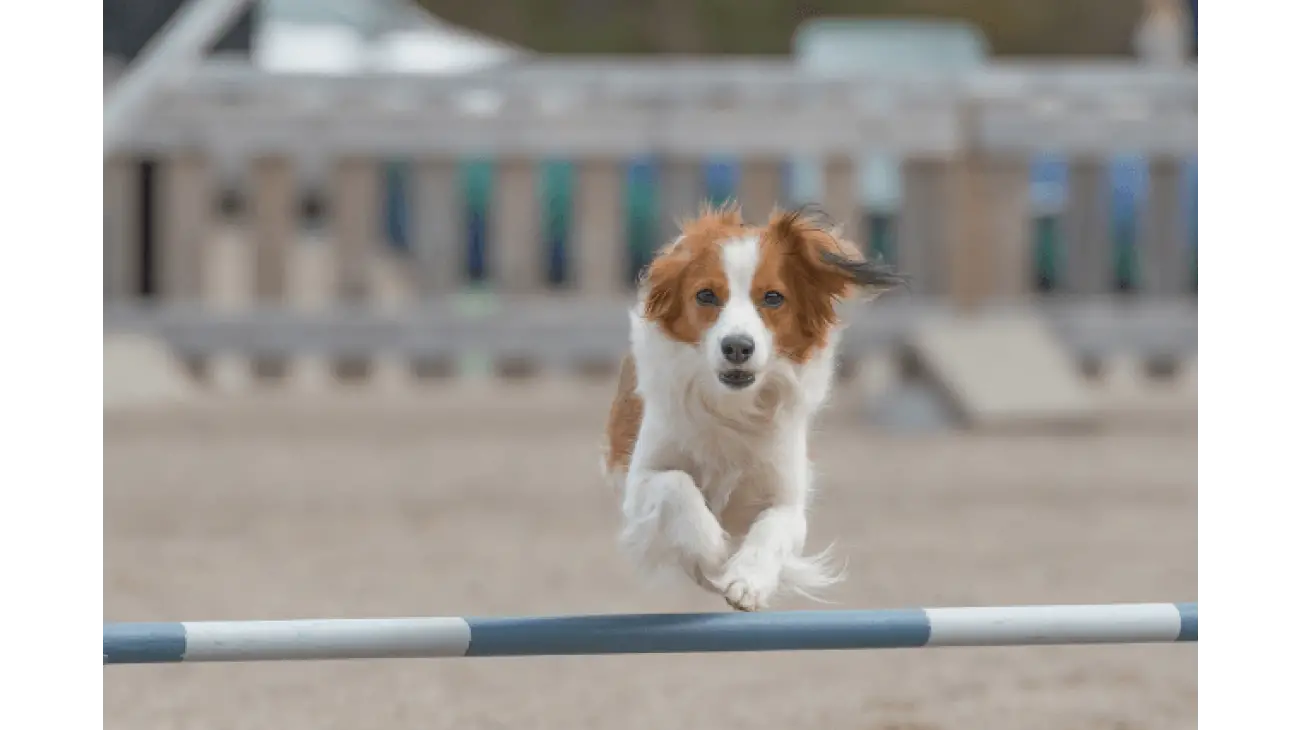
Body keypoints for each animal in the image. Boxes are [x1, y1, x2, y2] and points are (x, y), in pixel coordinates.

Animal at [600, 202, 899, 607]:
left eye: (773, 297)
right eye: (706, 295)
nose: (737, 347)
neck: (733, 407)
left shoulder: (787, 499)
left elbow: (772, 529)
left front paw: (747, 580)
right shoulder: (641, 481)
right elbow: (677, 485)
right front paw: (713, 548)